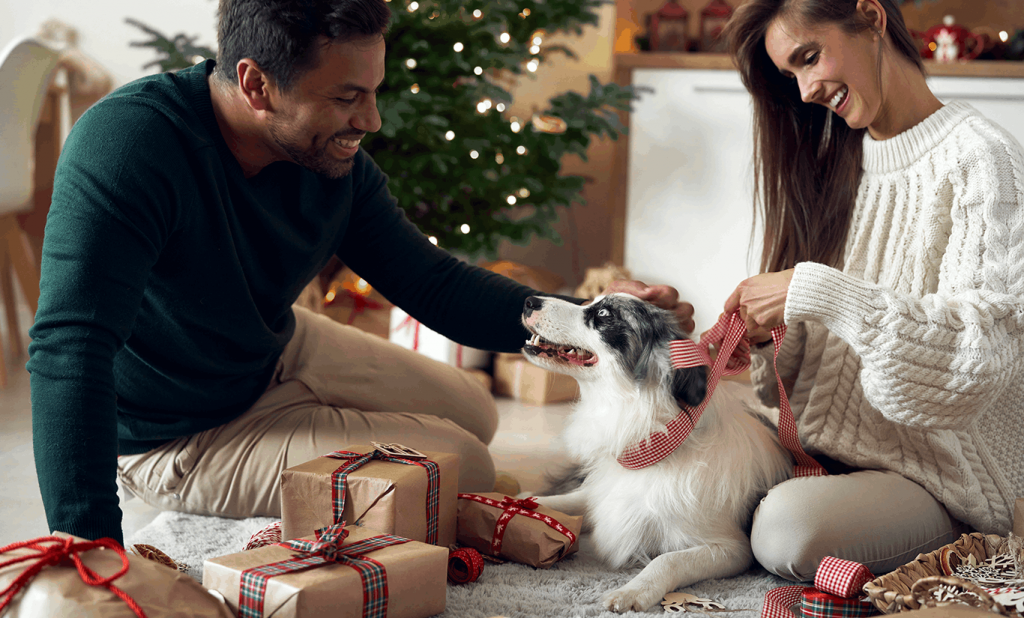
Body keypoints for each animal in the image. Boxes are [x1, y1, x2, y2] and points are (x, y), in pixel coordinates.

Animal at [520, 292, 790, 613]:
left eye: (603, 314)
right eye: (590, 301)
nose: (529, 300)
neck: (654, 444)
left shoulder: (732, 549)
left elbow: (669, 559)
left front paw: (633, 590)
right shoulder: (606, 495)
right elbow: (570, 500)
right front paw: (518, 503)